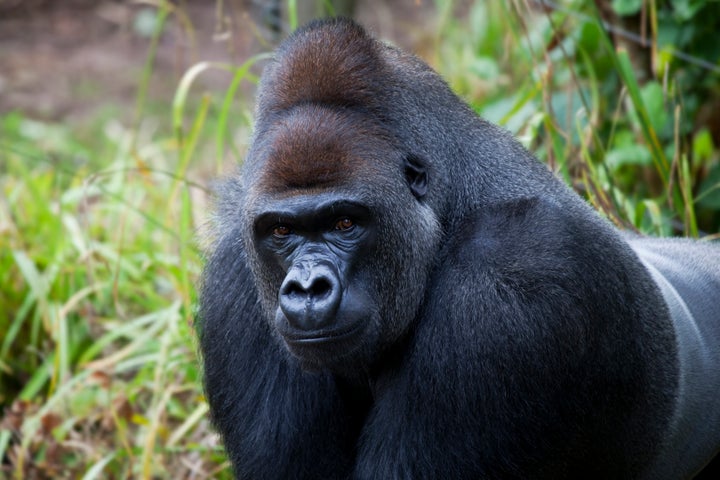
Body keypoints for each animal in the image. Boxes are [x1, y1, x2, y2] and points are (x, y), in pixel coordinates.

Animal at [197, 17, 720, 480]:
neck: (450, 205)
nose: (307, 288)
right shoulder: (235, 287)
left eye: (345, 222)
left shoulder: (507, 279)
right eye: (281, 231)